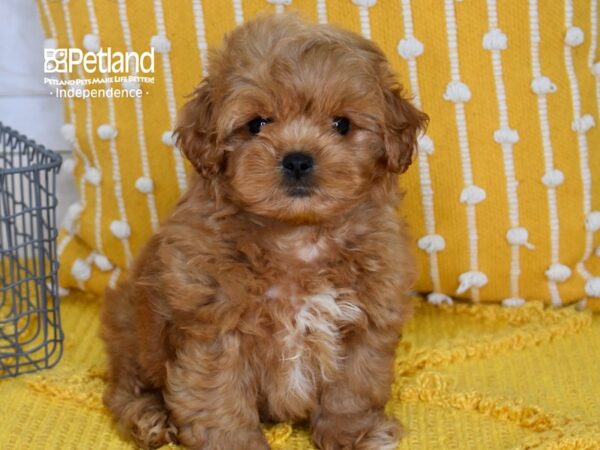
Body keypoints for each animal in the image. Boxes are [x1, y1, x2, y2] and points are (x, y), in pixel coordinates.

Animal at [101, 13, 424, 450]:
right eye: (256, 124)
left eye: (341, 125)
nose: (298, 160)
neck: (297, 236)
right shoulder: (214, 323)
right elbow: (217, 395)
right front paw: (235, 442)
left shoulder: (366, 319)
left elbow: (351, 387)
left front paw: (352, 432)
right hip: (134, 330)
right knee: (124, 388)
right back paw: (148, 417)